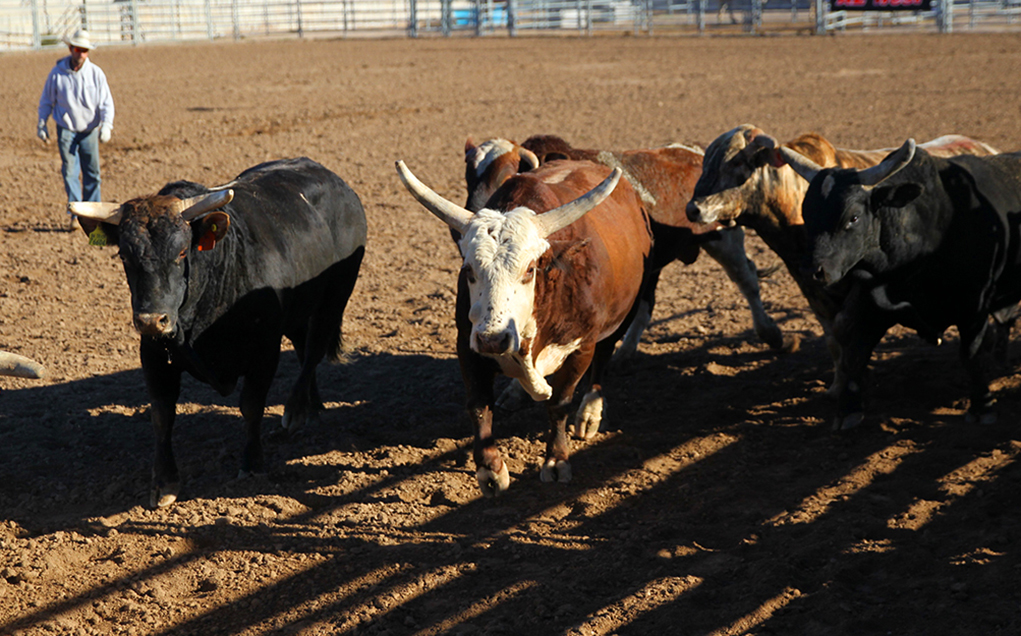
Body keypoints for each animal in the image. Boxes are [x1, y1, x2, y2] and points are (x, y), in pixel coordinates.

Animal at [394, 159, 649, 498]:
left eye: (529, 269)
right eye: (468, 270)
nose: (493, 339)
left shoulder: (582, 347)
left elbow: (559, 403)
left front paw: (556, 460)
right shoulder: (468, 345)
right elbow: (479, 404)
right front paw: (490, 469)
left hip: (623, 313)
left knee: (603, 360)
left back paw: (591, 412)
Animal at [682, 125, 1000, 398]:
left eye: (736, 161)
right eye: (705, 161)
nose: (693, 209)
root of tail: (987, 148)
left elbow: (847, 328)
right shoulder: (809, 283)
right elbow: (833, 336)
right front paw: (838, 385)